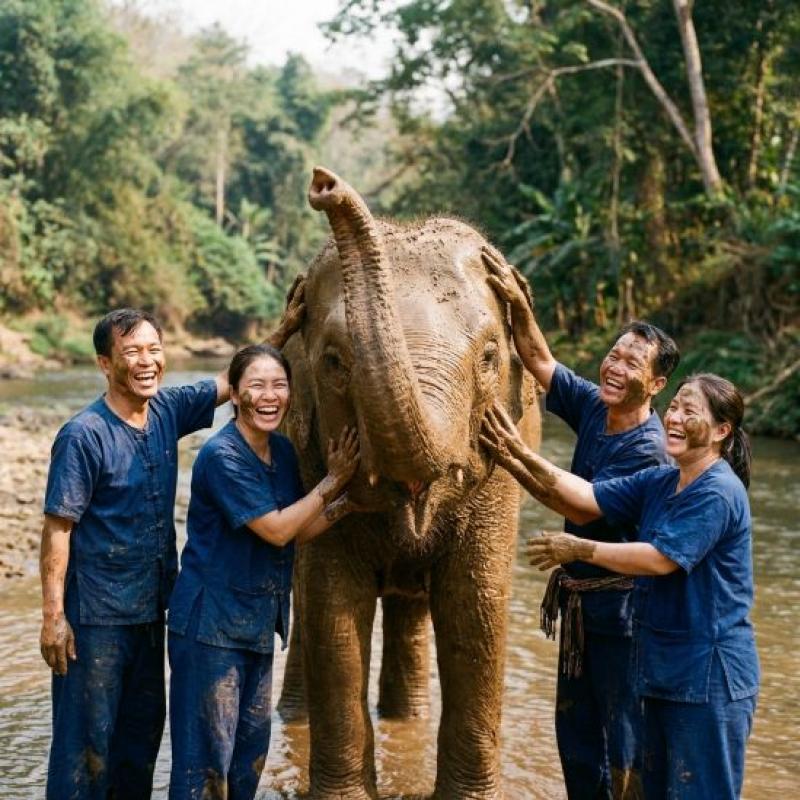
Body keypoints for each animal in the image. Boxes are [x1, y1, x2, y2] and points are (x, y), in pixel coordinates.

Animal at [280, 166, 541, 799]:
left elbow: (476, 607)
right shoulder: (310, 458)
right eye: (333, 362)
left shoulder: (504, 470)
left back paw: (407, 719)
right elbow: (332, 609)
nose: (323, 182)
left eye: (490, 356)